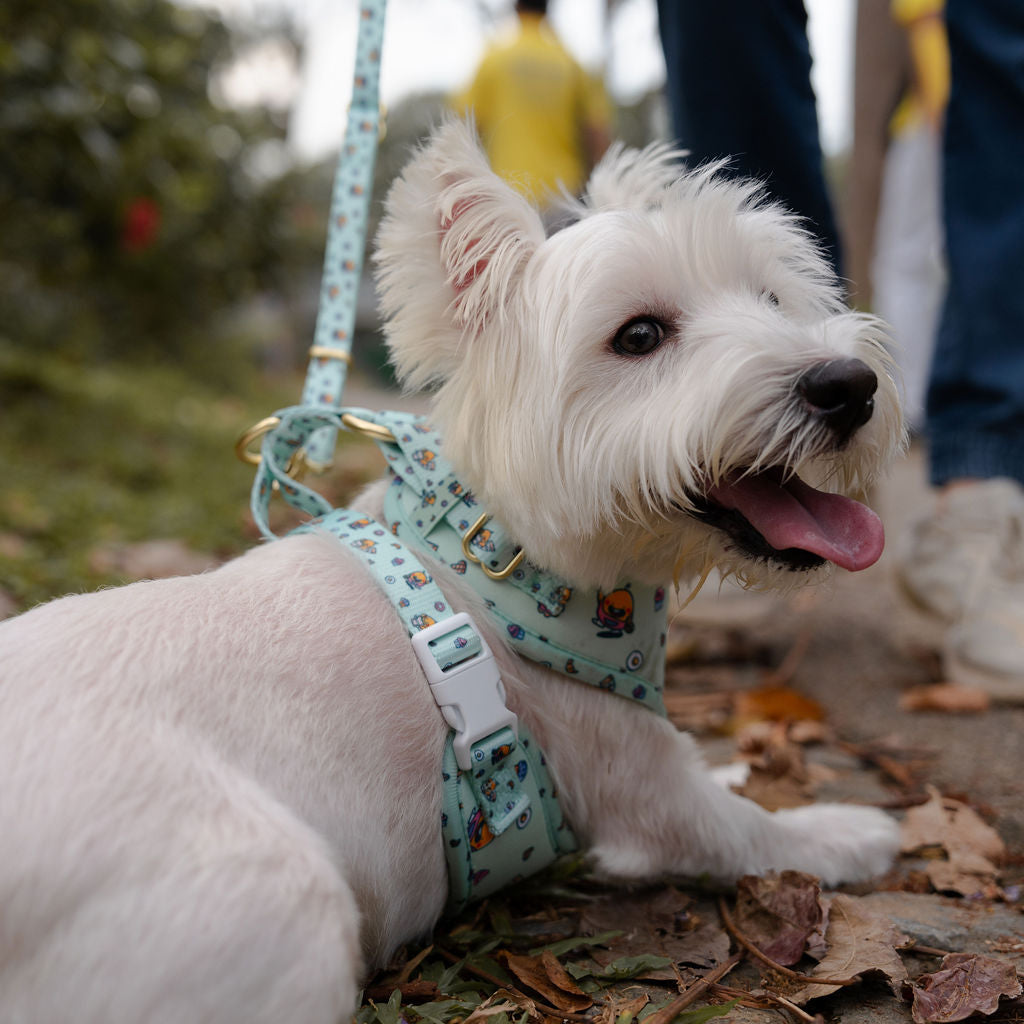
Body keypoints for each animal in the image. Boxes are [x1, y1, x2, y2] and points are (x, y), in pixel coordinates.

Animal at [4, 123, 905, 1024]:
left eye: (774, 300)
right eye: (640, 336)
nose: (847, 385)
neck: (493, 560)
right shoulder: (636, 776)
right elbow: (743, 830)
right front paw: (843, 830)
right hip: (284, 902)